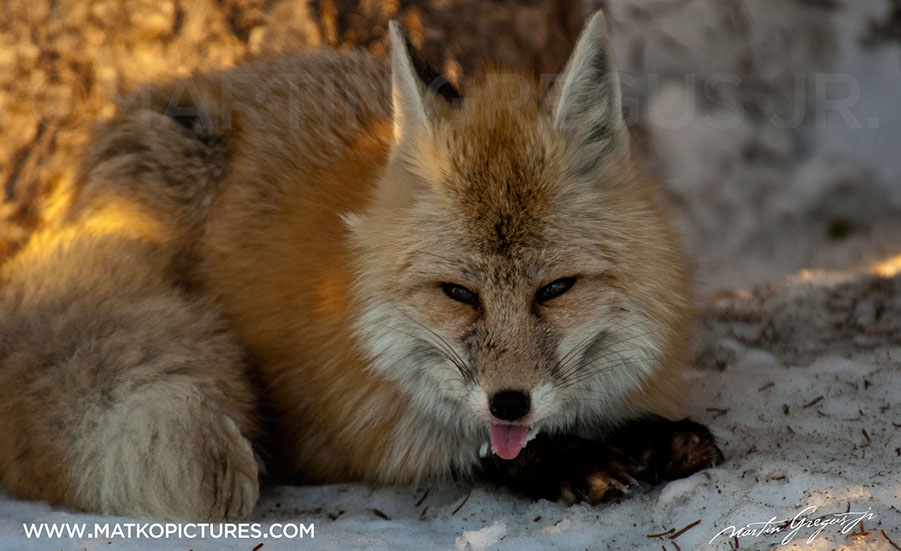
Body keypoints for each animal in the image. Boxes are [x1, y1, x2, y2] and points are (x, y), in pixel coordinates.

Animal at [0, 11, 723, 521]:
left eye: (555, 289)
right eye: (457, 293)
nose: (509, 402)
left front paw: (648, 435)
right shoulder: (334, 432)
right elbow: (470, 451)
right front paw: (566, 462)